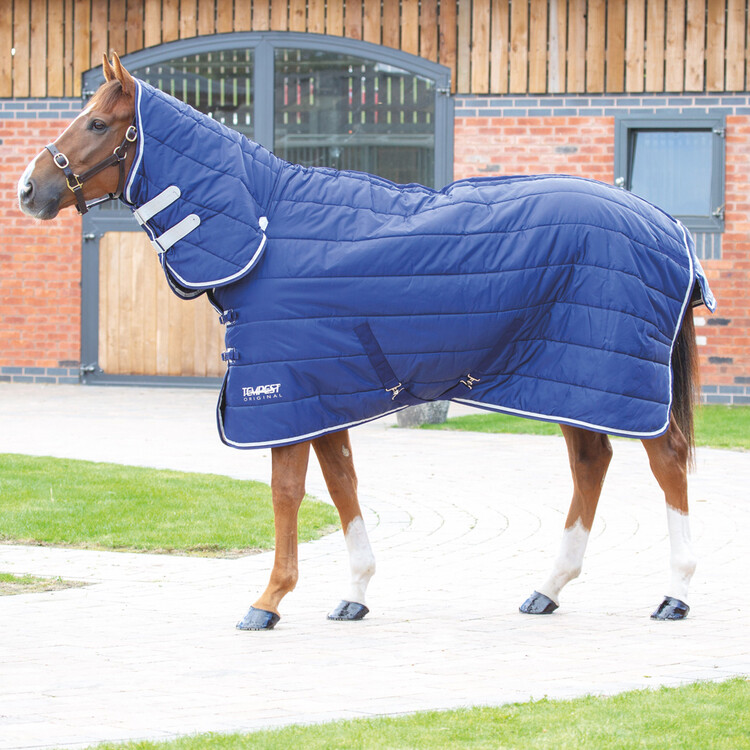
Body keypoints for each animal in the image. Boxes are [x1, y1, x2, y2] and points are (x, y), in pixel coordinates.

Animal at [18, 53, 713, 628]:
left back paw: (676, 593)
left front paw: (268, 600)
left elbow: (288, 492)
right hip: (569, 380)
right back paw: (548, 589)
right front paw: (353, 593)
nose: (29, 189)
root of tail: (666, 226)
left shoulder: (282, 391)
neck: (267, 230)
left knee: (668, 459)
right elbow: (341, 485)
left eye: (98, 123)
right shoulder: (323, 394)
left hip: (611, 379)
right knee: (592, 462)